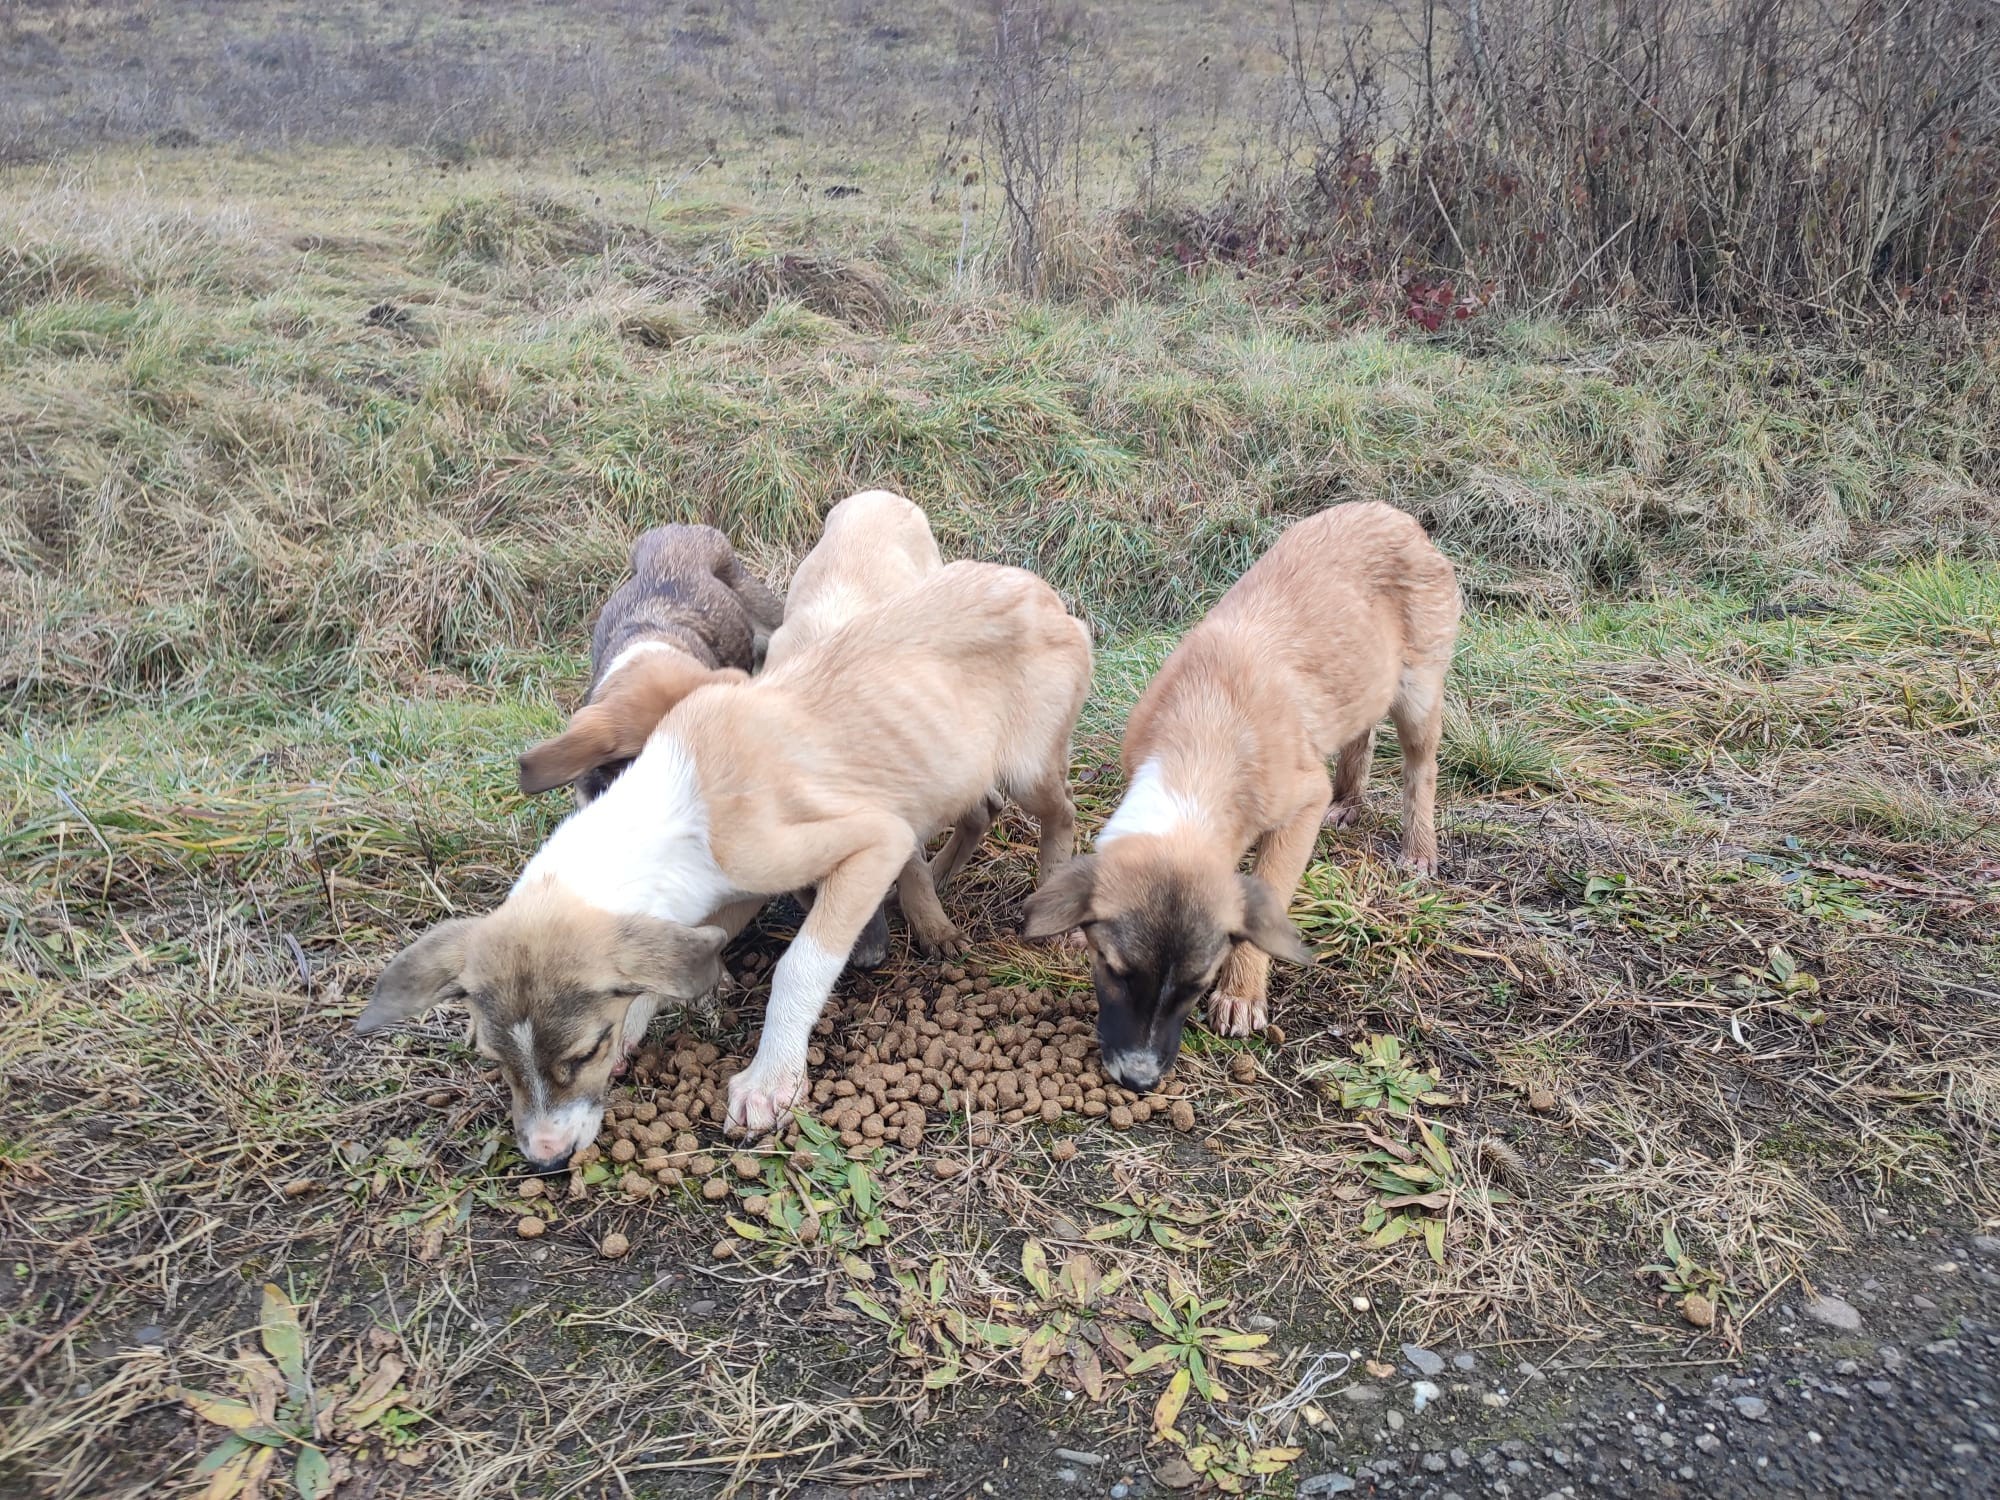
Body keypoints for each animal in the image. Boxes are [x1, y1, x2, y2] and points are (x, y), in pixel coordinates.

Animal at [357, 560, 1092, 1163]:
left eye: (582, 1050)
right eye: (493, 1058)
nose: (545, 1157)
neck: (674, 814)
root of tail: (1043, 591)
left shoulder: (866, 840)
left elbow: (799, 966)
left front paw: (771, 1082)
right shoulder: (725, 895)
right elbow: (665, 967)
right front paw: (642, 1027)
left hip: (1028, 767)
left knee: (1063, 817)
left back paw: (1049, 901)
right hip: (956, 767)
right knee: (978, 812)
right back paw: (938, 881)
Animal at [1023, 501, 1459, 1093]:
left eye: (1197, 985)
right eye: (1113, 970)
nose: (1139, 1080)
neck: (1206, 742)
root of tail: (1393, 514)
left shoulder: (1301, 803)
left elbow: (1269, 890)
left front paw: (1242, 992)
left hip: (1418, 695)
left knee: (1421, 771)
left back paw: (1419, 849)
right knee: (1362, 732)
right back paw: (1349, 800)